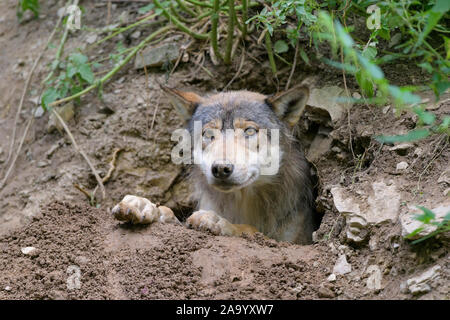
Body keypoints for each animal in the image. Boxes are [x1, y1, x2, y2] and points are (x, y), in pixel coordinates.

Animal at [112, 83, 316, 245]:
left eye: (249, 131)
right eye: (208, 134)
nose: (221, 169)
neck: (242, 203)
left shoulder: (292, 242)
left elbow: (250, 229)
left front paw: (221, 223)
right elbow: (168, 213)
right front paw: (143, 206)